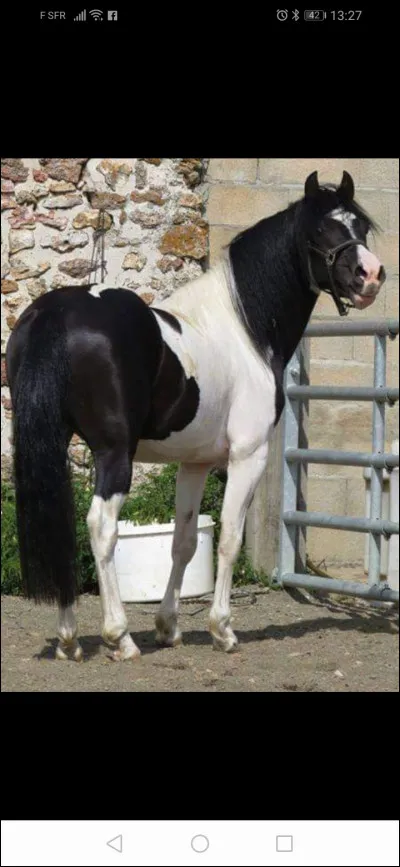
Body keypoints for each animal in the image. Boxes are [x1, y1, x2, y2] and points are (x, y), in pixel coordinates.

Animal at [6, 170, 385, 662]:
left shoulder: (195, 463)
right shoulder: (248, 456)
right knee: (101, 528)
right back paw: (118, 636)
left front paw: (169, 627)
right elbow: (228, 539)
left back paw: (69, 638)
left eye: (360, 226)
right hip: (114, 455)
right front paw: (222, 629)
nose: (370, 275)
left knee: (61, 529)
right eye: (321, 229)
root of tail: (57, 311)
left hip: (51, 444)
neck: (244, 330)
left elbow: (183, 543)